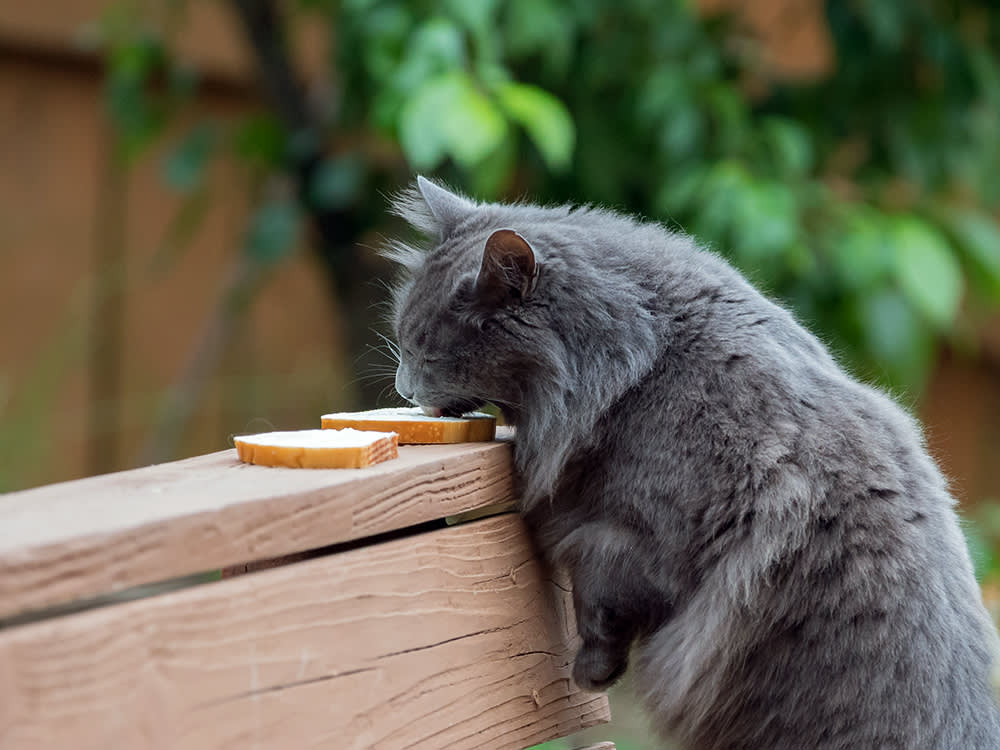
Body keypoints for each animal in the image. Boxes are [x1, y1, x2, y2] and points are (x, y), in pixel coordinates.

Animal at [384, 178, 1000, 750]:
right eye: (402, 341)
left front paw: (591, 673)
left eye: (425, 351)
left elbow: (595, 581)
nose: (403, 386)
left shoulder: (646, 541)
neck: (638, 369)